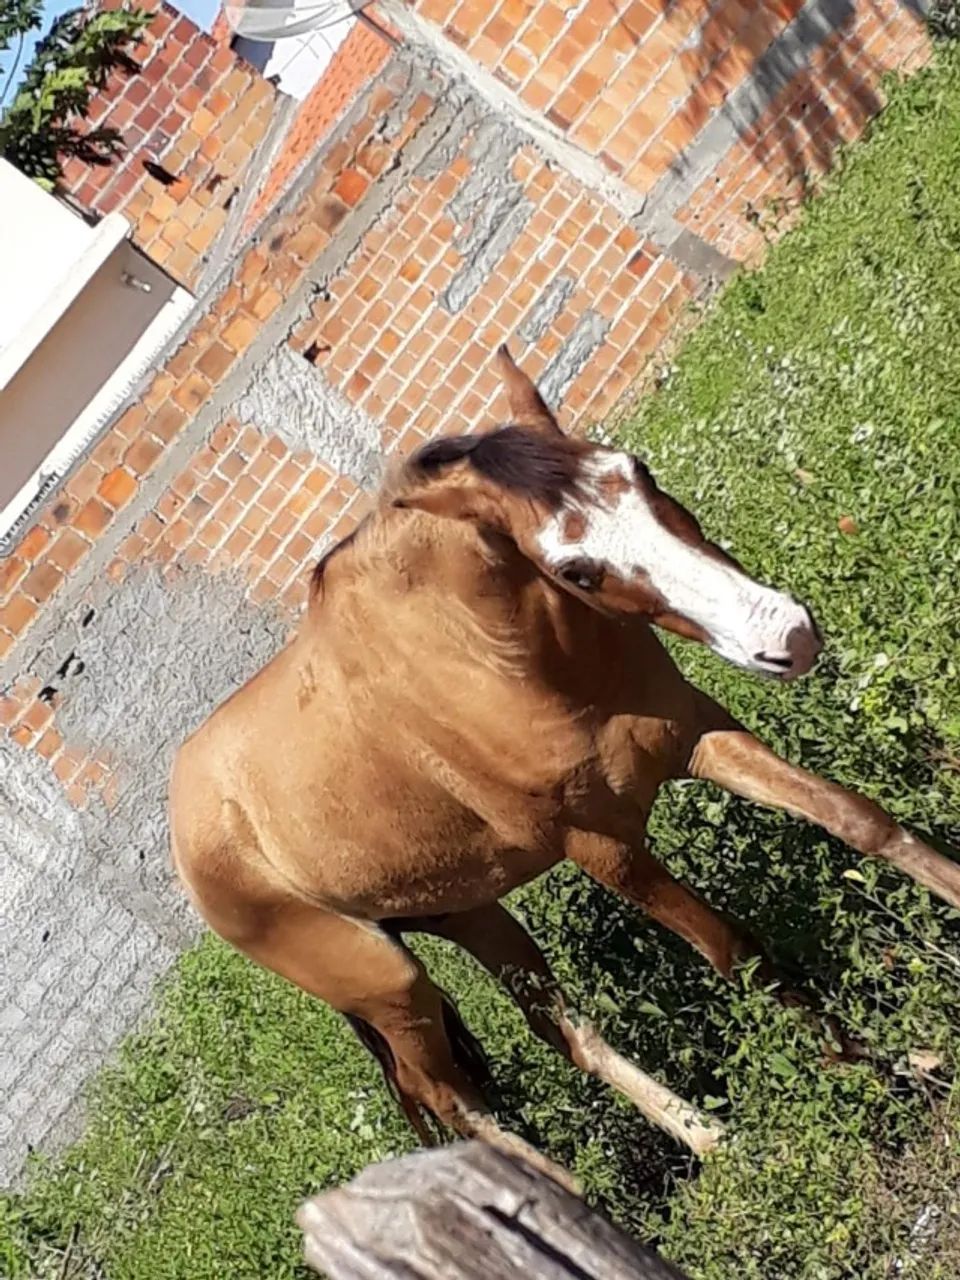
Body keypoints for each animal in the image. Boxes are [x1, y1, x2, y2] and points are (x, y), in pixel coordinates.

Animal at [170, 346, 960, 1182]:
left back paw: (714, 1141)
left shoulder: (698, 734)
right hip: (390, 984)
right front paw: (869, 1074)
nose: (784, 635)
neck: (503, 661)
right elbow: (732, 952)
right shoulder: (603, 848)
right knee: (455, 1099)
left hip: (474, 914)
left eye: (636, 468)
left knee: (557, 1025)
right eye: (574, 569)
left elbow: (860, 823)